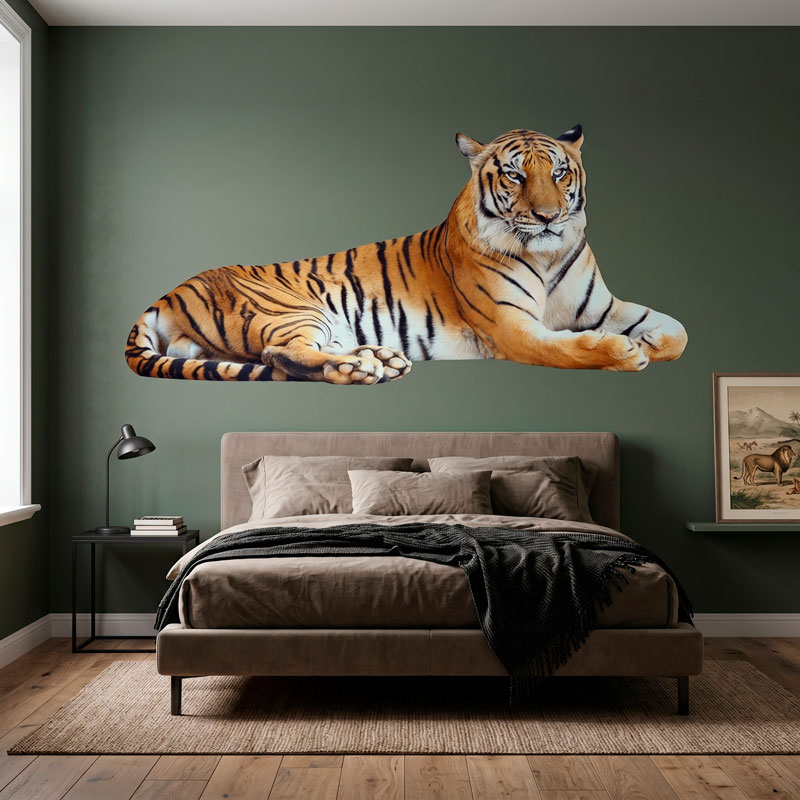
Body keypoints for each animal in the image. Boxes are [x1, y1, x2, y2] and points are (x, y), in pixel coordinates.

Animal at [125, 125, 688, 384]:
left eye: (559, 172)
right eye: (514, 175)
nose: (549, 217)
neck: (548, 256)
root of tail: (170, 292)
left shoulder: (603, 306)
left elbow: (676, 331)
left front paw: (651, 342)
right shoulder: (513, 328)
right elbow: (567, 348)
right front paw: (625, 352)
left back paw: (378, 358)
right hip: (292, 310)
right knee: (279, 354)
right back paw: (361, 369)